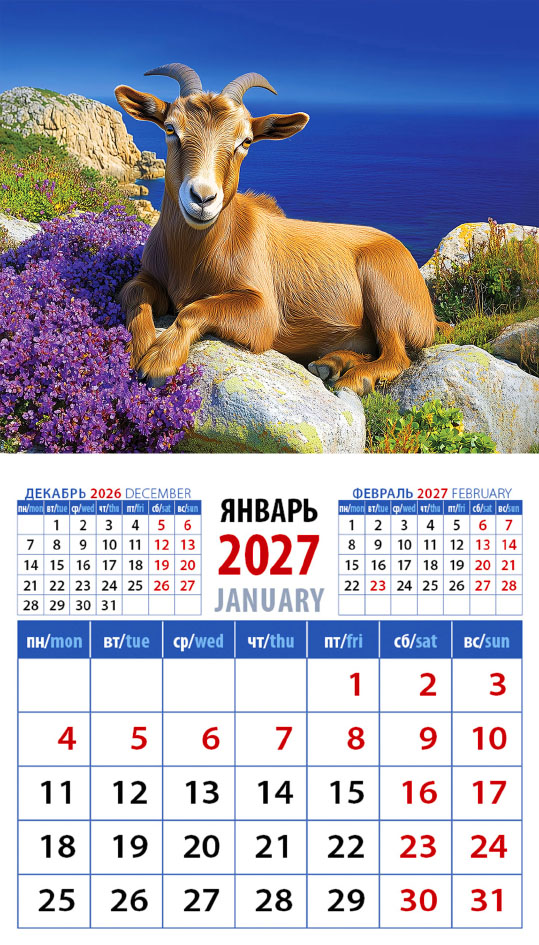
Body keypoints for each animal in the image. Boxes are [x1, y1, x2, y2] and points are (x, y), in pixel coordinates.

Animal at [115, 63, 445, 393]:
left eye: (246, 141)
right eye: (170, 128)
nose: (203, 198)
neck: (193, 255)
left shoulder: (263, 312)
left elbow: (194, 309)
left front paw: (159, 362)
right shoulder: (151, 276)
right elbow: (133, 291)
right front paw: (137, 348)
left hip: (384, 291)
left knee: (397, 354)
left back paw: (355, 378)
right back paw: (331, 363)